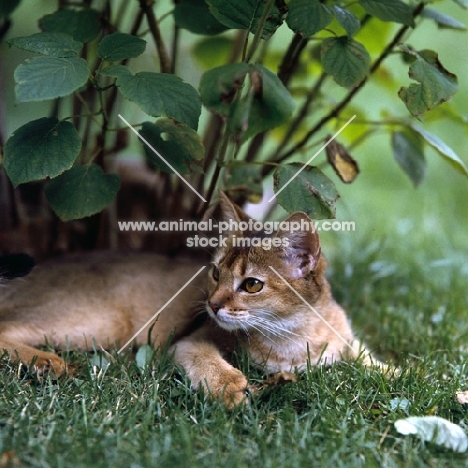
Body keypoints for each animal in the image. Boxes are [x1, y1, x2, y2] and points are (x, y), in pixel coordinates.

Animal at [0, 192, 378, 408]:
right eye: (215, 272)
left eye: (252, 284)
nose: (213, 305)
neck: (295, 337)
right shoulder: (186, 341)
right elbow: (207, 360)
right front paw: (229, 388)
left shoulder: (349, 344)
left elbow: (373, 362)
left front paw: (394, 371)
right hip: (101, 322)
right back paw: (48, 362)